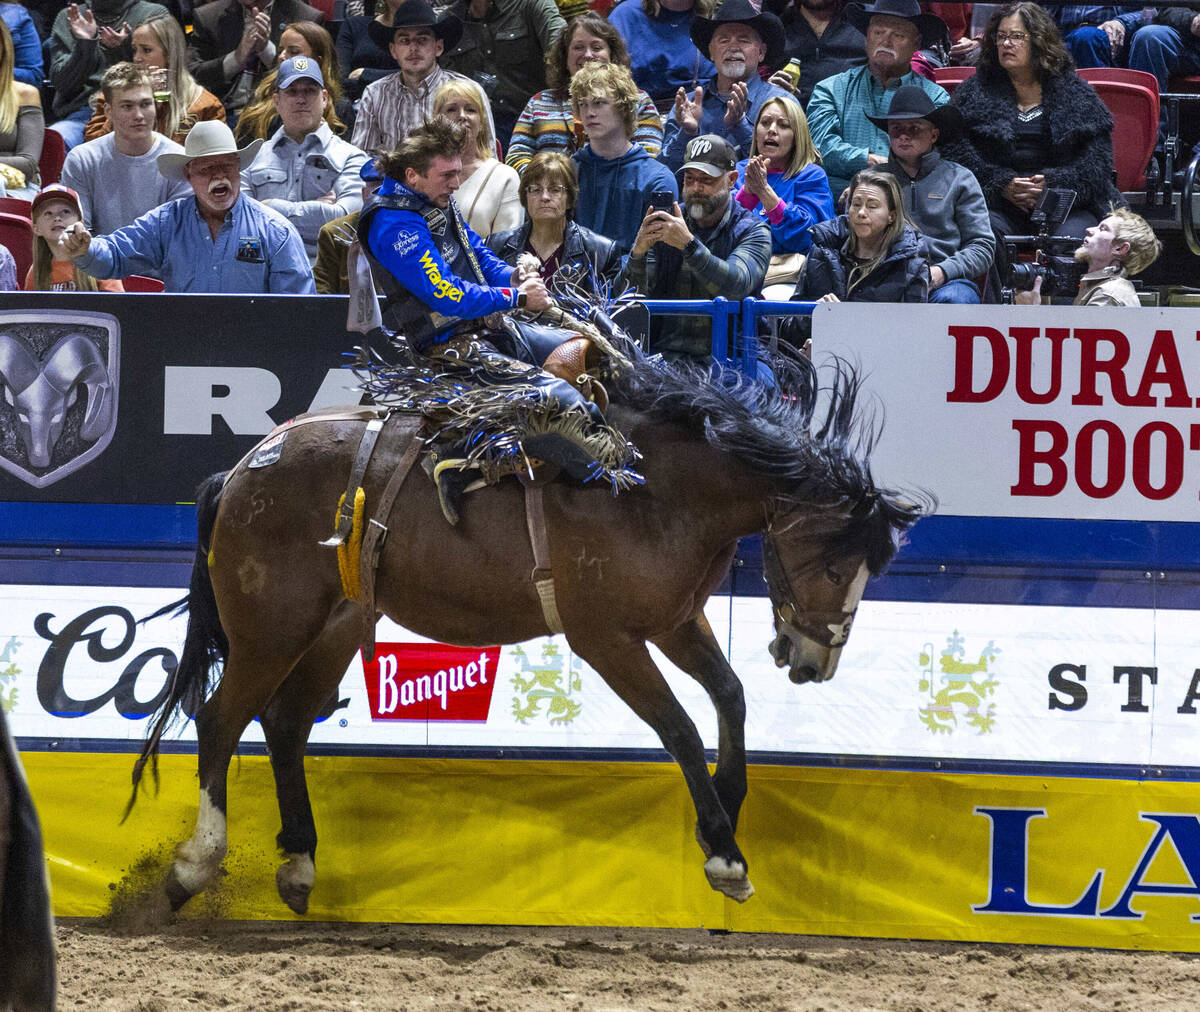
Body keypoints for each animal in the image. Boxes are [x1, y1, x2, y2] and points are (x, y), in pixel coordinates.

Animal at [131, 352, 921, 912]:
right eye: (831, 561)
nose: (814, 660)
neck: (658, 489)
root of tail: (241, 469)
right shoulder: (605, 638)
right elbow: (679, 727)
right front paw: (724, 856)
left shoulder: (674, 620)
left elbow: (729, 695)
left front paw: (726, 805)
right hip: (270, 625)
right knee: (220, 719)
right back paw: (194, 866)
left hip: (337, 623)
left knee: (285, 722)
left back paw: (298, 863)